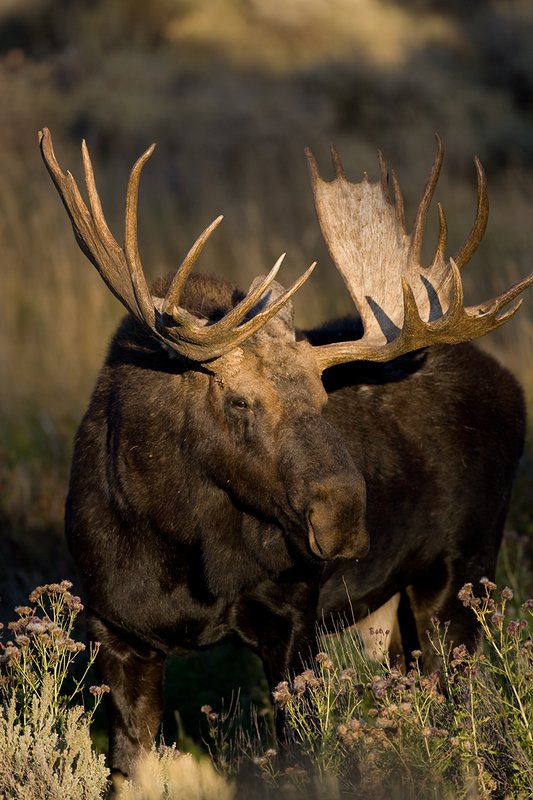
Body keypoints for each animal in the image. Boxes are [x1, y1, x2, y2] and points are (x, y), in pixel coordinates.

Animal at [39, 127, 532, 786]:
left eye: (325, 396)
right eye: (239, 400)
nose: (344, 518)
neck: (181, 544)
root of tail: (511, 385)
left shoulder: (293, 620)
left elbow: (300, 760)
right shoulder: (115, 630)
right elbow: (128, 768)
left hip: (460, 577)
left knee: (467, 709)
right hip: (389, 609)